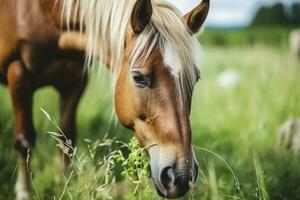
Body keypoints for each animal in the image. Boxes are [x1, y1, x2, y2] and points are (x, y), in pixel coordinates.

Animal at [0, 0, 210, 199]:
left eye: (195, 79)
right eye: (138, 78)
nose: (181, 176)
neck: (47, 11)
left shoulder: (75, 81)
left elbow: (66, 139)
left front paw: (63, 185)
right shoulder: (18, 72)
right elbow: (24, 140)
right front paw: (23, 192)